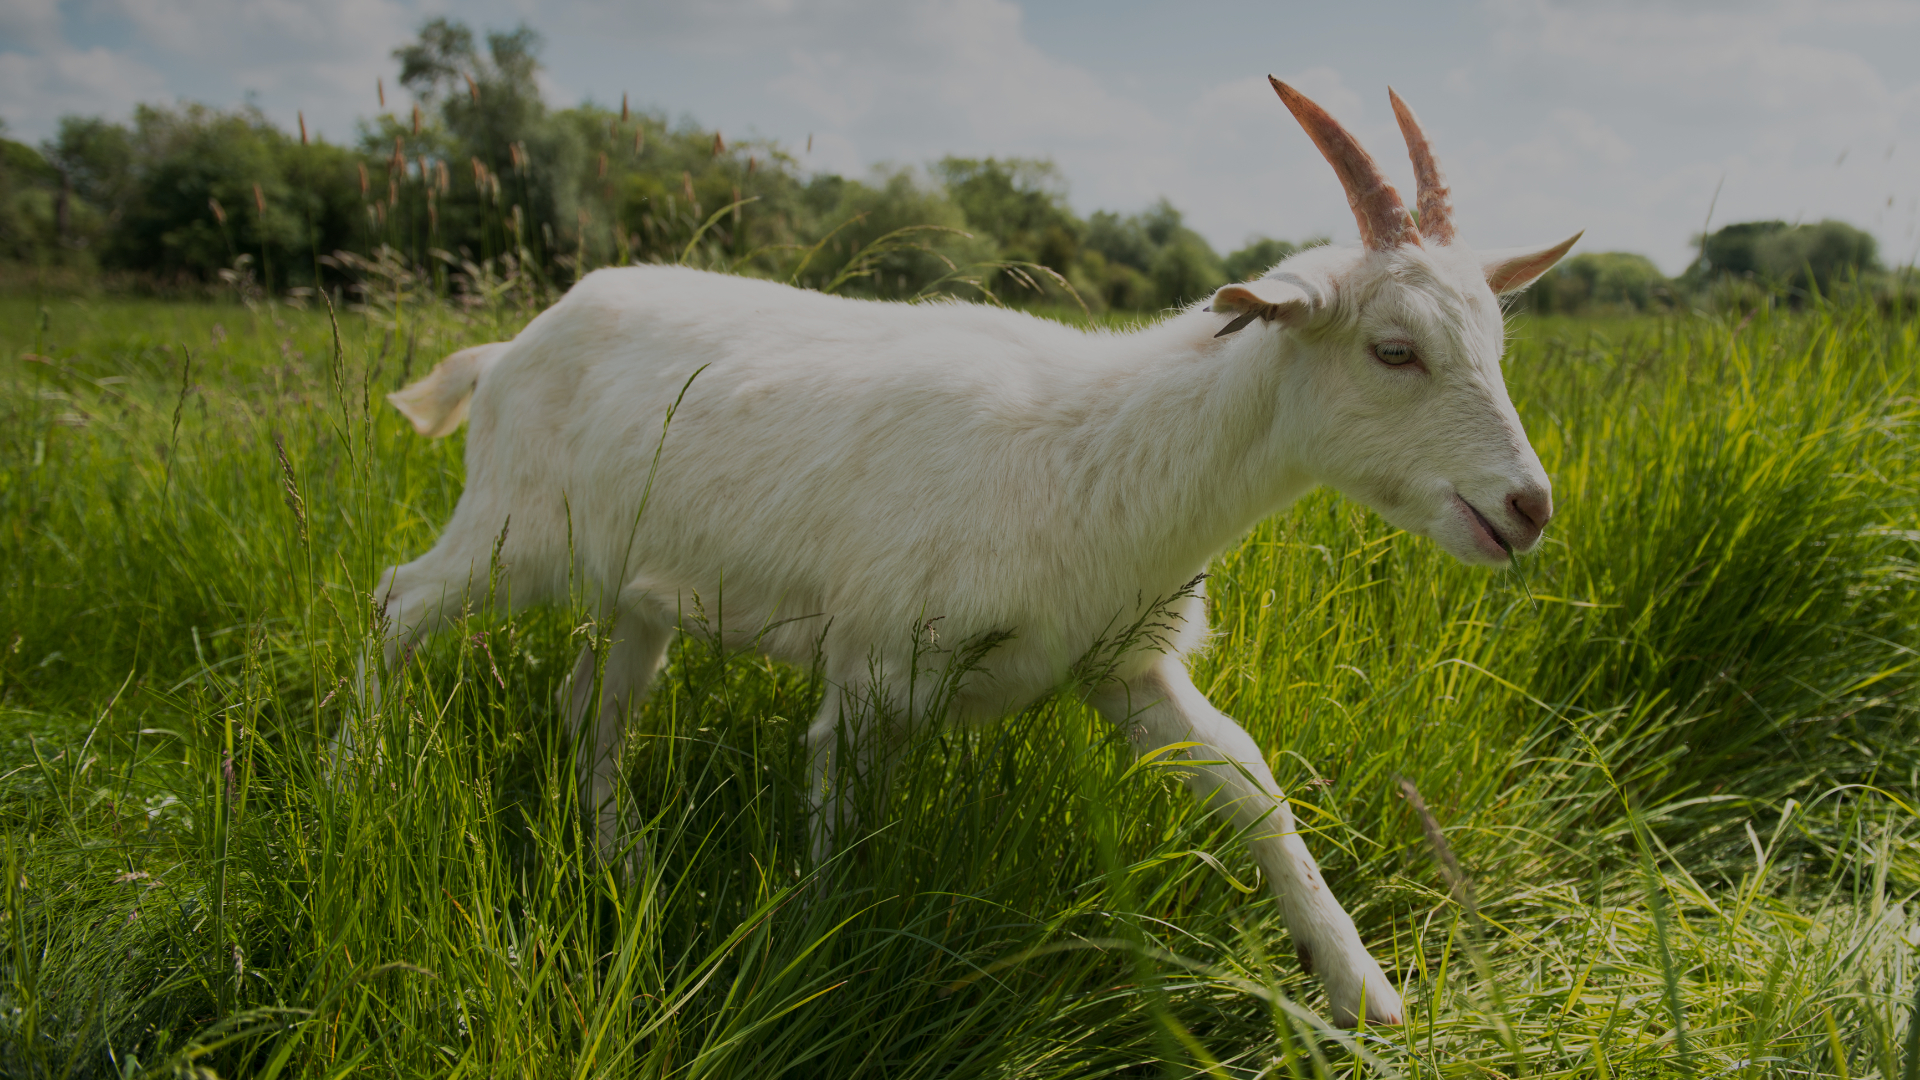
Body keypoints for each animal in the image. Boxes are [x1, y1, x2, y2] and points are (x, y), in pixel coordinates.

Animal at [370, 79, 1574, 1022]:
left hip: (636, 587)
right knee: (399, 604)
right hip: (514, 531)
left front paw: (1364, 992)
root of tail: (508, 349)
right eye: (1393, 349)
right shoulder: (874, 669)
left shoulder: (1121, 662)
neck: (1098, 451)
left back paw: (625, 862)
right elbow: (838, 825)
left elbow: (1248, 782)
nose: (1527, 507)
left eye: (1497, 342)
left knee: (595, 703)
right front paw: (813, 974)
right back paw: (359, 777)